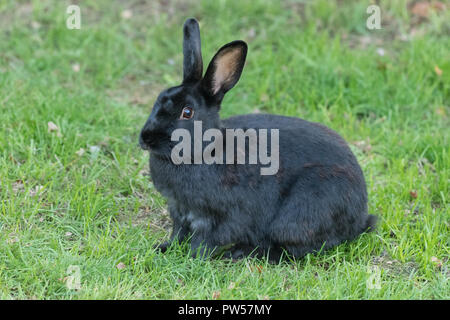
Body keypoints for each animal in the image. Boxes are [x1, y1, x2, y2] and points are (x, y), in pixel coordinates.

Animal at [138, 18, 376, 260]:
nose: (146, 139)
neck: (204, 152)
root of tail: (360, 216)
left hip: (300, 214)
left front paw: (192, 258)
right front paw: (163, 248)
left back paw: (242, 252)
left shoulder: (219, 218)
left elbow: (204, 242)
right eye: (159, 98)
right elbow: (178, 234)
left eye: (187, 112)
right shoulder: (179, 211)